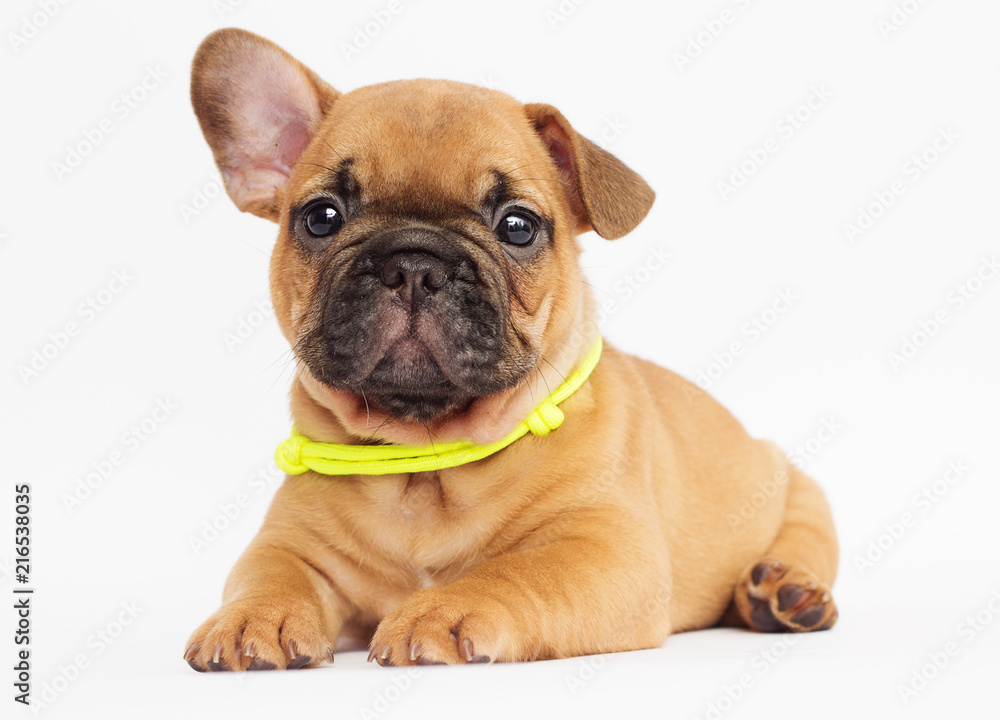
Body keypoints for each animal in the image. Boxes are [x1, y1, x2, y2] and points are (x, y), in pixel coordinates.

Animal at [186, 28, 836, 668]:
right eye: (321, 217)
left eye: (517, 227)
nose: (414, 264)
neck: (424, 460)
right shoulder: (290, 542)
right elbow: (269, 573)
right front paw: (252, 617)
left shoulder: (604, 547)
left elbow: (518, 572)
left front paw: (443, 609)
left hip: (797, 489)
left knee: (807, 539)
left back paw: (784, 593)